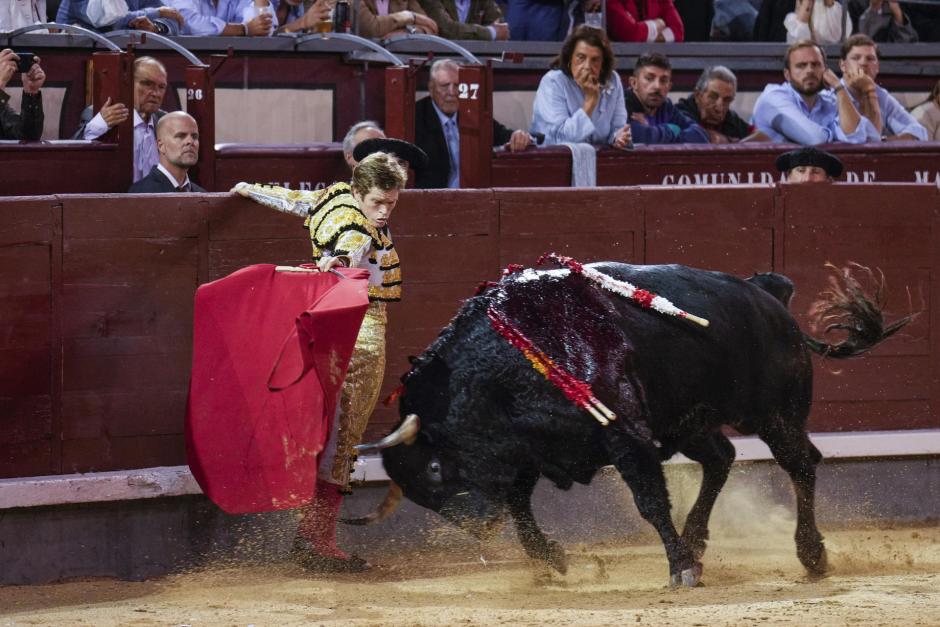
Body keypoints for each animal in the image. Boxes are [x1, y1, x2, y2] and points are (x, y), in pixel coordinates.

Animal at [352, 262, 912, 588]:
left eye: (433, 469)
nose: (479, 527)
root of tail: (769, 294)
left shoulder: (626, 437)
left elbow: (649, 501)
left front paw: (680, 568)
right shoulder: (530, 447)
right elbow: (519, 505)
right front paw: (550, 559)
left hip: (774, 414)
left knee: (801, 465)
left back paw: (811, 554)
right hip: (691, 422)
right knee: (722, 458)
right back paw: (699, 538)